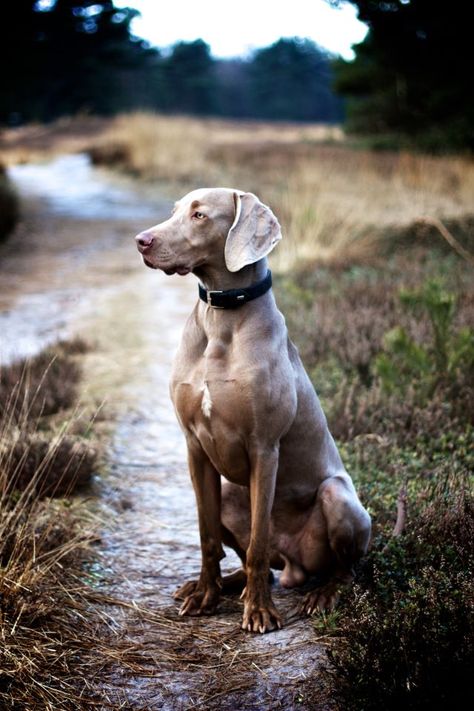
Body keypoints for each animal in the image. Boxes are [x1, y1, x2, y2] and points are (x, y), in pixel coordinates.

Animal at [135, 189, 372, 636]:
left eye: (199, 215)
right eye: (175, 211)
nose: (141, 241)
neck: (221, 318)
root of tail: (294, 566)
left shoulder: (264, 447)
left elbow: (259, 542)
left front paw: (260, 611)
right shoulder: (194, 447)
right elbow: (206, 534)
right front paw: (205, 595)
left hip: (338, 497)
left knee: (343, 568)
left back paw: (320, 594)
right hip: (230, 491)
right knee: (244, 560)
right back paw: (223, 585)